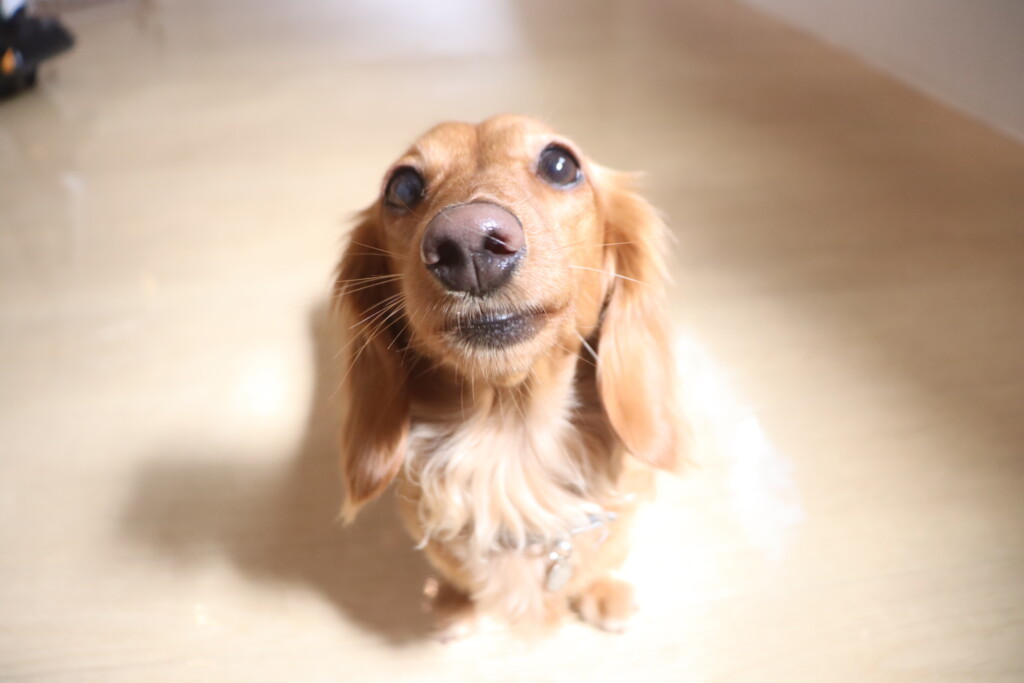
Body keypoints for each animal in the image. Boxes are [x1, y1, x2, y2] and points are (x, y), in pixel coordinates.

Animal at [333, 115, 681, 634]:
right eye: (402, 186)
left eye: (560, 164)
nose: (468, 243)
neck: (510, 440)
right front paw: (457, 605)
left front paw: (601, 591)